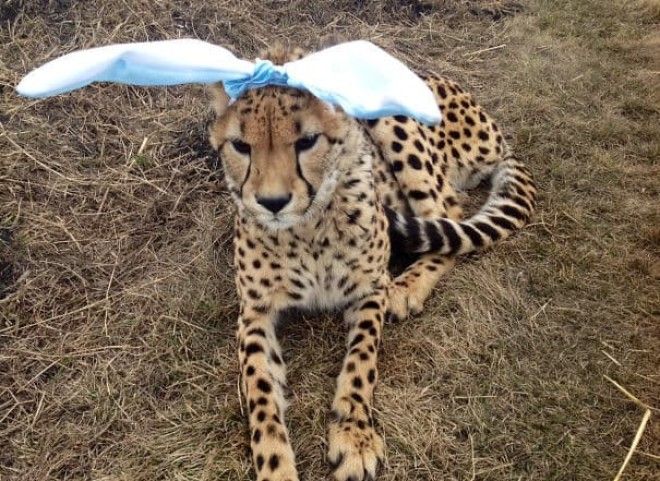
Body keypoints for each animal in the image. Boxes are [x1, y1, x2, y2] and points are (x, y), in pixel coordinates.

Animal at [208, 45, 536, 480]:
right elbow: (261, 392)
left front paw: (354, 436)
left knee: (448, 211)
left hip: (393, 121)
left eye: (307, 141)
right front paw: (276, 466)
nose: (272, 202)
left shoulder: (369, 289)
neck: (306, 229)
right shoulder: (254, 312)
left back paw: (408, 286)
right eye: (241, 146)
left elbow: (361, 361)